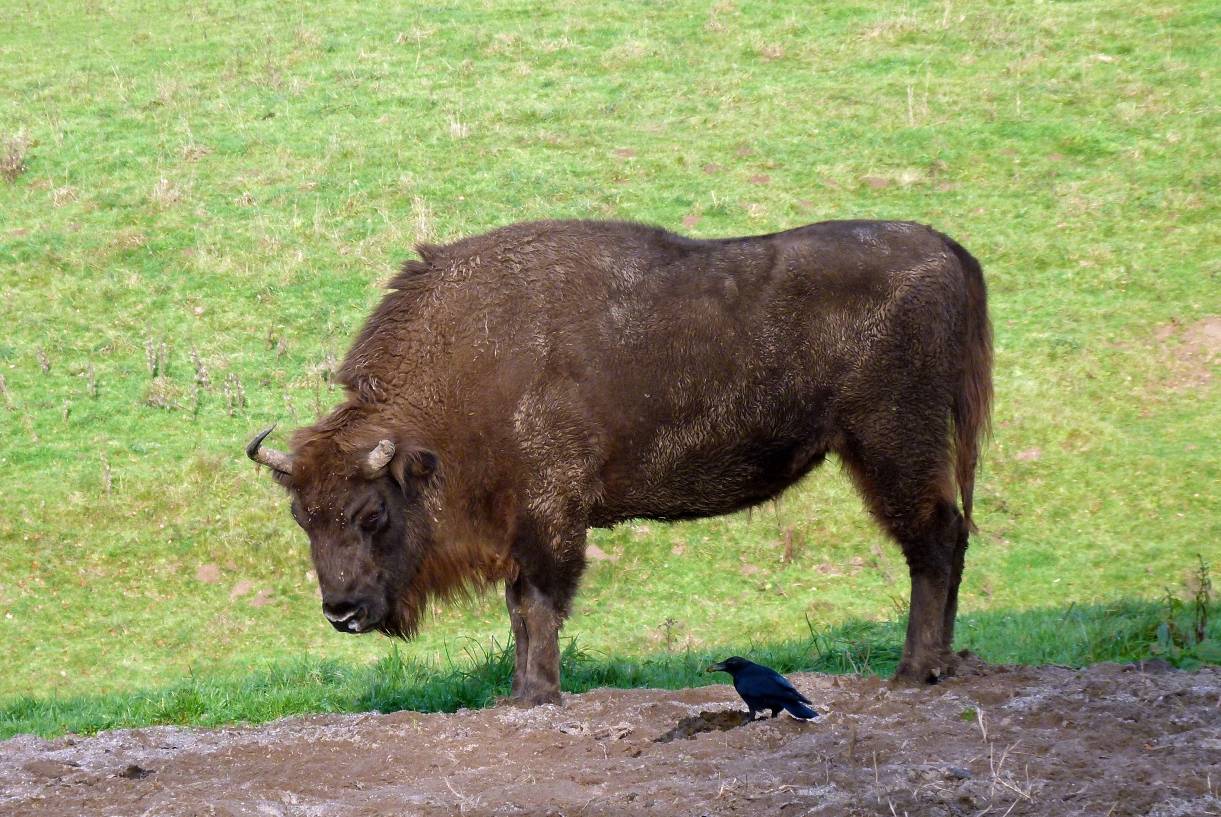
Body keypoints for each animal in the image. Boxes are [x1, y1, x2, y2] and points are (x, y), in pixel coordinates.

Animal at [245, 216, 991, 703]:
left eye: (371, 514)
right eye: (303, 518)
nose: (340, 610)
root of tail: (949, 252)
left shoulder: (550, 518)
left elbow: (536, 606)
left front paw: (538, 693)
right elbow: (519, 610)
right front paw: (518, 691)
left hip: (893, 446)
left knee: (933, 541)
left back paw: (913, 671)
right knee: (947, 540)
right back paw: (938, 665)